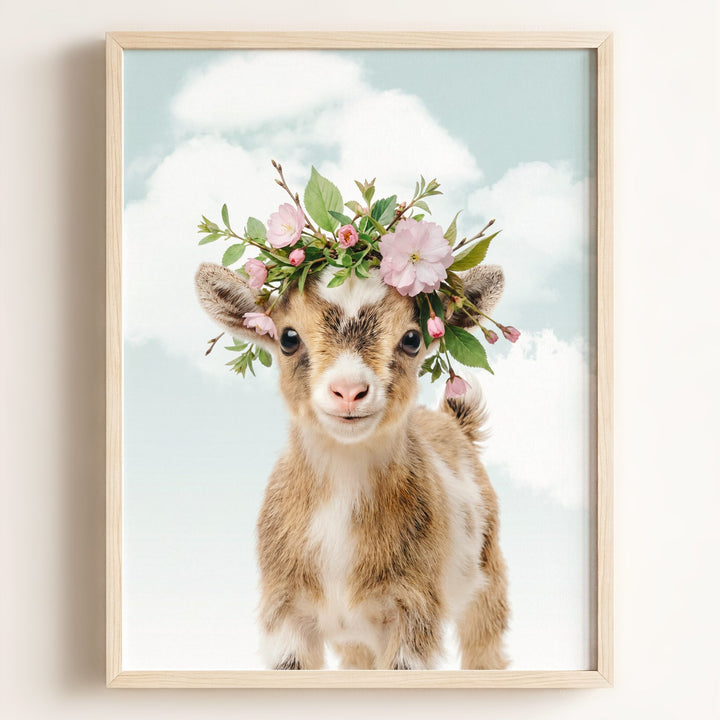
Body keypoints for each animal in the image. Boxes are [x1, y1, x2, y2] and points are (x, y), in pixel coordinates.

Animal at [195, 262, 509, 670]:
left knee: (485, 643)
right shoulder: (285, 613)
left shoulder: (413, 609)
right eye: (288, 338)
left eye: (412, 338)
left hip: (487, 576)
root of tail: (454, 423)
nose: (348, 391)